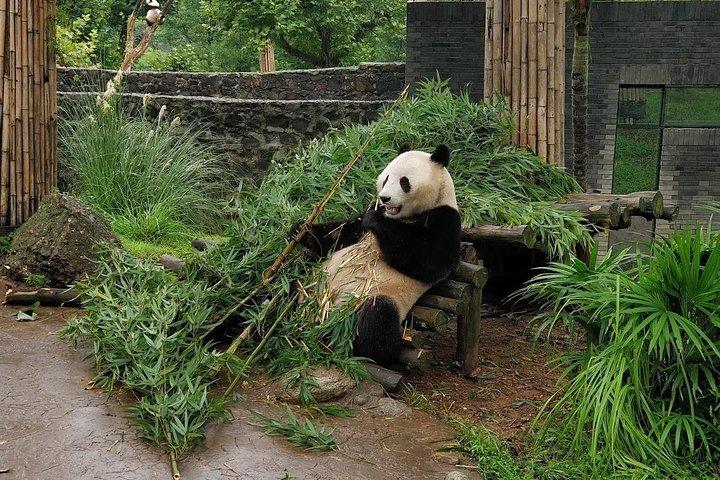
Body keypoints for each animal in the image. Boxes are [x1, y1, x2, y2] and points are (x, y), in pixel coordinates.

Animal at [297, 144, 462, 366]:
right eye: (386, 178)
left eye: (404, 182)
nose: (384, 198)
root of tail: (324, 312)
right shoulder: (361, 219)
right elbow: (338, 236)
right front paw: (300, 230)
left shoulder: (445, 219)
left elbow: (428, 261)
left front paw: (376, 220)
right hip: (313, 282)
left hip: (373, 297)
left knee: (377, 317)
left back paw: (364, 351)